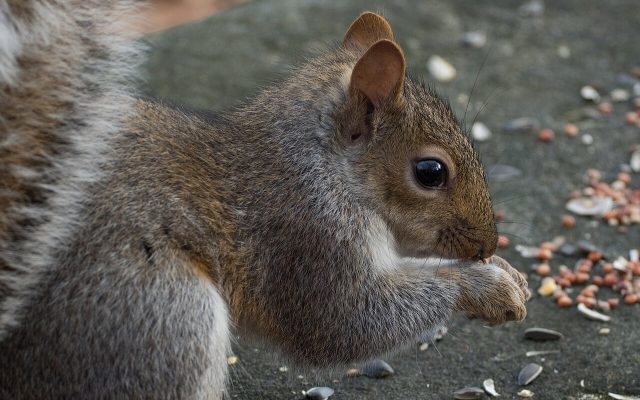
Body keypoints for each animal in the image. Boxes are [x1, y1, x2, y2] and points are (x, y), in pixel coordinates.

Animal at [0, 1, 529, 398]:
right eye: (430, 172)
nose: (487, 244)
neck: (322, 164)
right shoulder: (307, 233)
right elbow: (347, 321)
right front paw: (485, 286)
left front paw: (507, 273)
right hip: (158, 314)